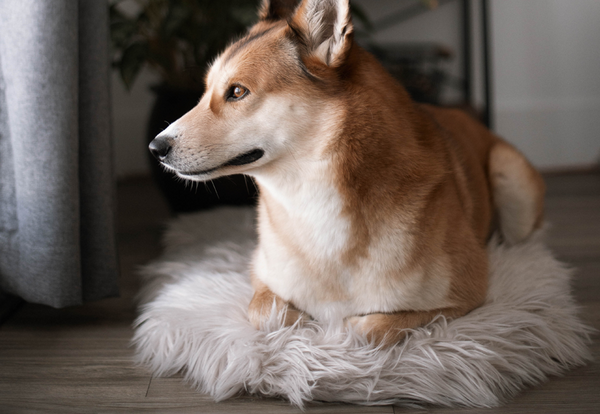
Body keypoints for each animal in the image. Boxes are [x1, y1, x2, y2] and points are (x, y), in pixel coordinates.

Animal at [149, 0, 544, 346]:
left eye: (237, 92)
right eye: (205, 91)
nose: (155, 148)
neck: (311, 199)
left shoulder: (465, 294)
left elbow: (367, 327)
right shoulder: (261, 276)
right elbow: (268, 312)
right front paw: (301, 326)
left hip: (512, 185)